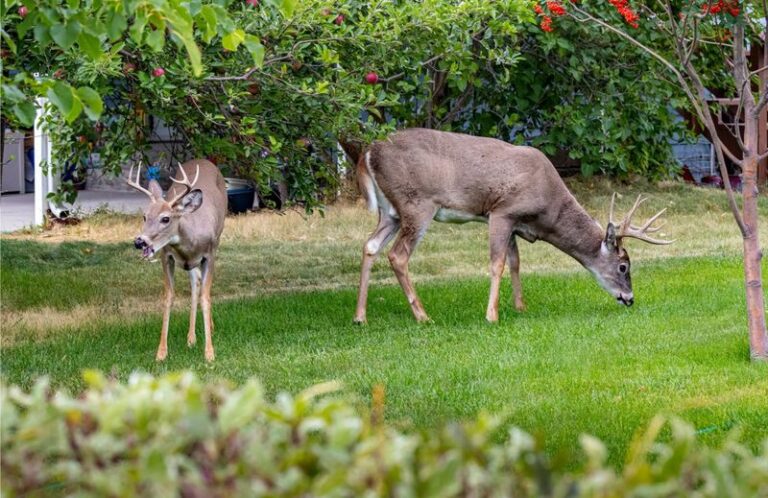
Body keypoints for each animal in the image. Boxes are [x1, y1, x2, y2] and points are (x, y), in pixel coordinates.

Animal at [128, 159, 227, 362]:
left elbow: (206, 297)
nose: (139, 241)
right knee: (195, 282)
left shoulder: (210, 254)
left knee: (200, 287)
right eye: (144, 216)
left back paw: (207, 330)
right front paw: (161, 352)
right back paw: (191, 338)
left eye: (166, 218)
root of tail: (204, 160)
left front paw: (209, 353)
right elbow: (168, 297)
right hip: (190, 264)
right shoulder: (167, 256)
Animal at [354, 128, 672, 324]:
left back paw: (360, 317)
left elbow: (516, 262)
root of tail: (368, 153)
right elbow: (498, 263)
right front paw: (491, 315)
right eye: (623, 266)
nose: (629, 299)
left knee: (370, 245)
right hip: (417, 204)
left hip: (391, 211)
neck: (548, 210)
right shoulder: (502, 211)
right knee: (398, 255)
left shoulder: (517, 224)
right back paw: (423, 316)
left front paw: (520, 307)